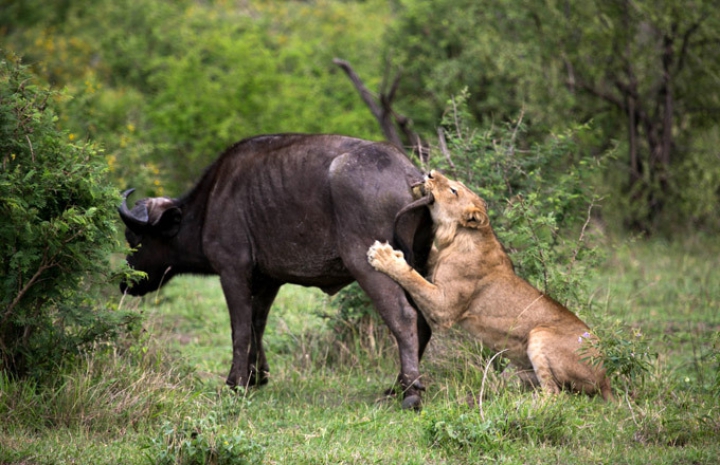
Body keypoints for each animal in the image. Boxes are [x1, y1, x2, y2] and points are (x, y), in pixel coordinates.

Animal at [119, 132, 434, 408]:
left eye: (134, 238)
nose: (125, 283)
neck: (211, 203)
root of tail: (410, 176)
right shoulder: (268, 281)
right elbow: (257, 324)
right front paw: (256, 375)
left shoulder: (232, 271)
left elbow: (239, 329)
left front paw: (236, 382)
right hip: (417, 264)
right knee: (423, 320)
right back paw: (399, 385)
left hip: (368, 265)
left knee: (404, 317)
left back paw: (410, 394)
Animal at [368, 170, 612, 398]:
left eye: (454, 190)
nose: (431, 173)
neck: (458, 235)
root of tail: (607, 379)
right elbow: (427, 261)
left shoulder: (445, 308)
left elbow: (413, 278)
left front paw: (383, 256)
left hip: (540, 334)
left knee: (555, 395)